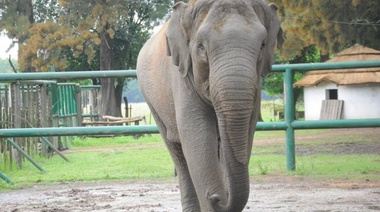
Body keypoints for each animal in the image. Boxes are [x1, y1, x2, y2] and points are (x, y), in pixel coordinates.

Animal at [137, 0, 282, 210]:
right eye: (201, 48)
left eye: (263, 45)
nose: (217, 198)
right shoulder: (182, 77)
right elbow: (198, 135)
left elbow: (246, 132)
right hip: (152, 100)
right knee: (177, 152)